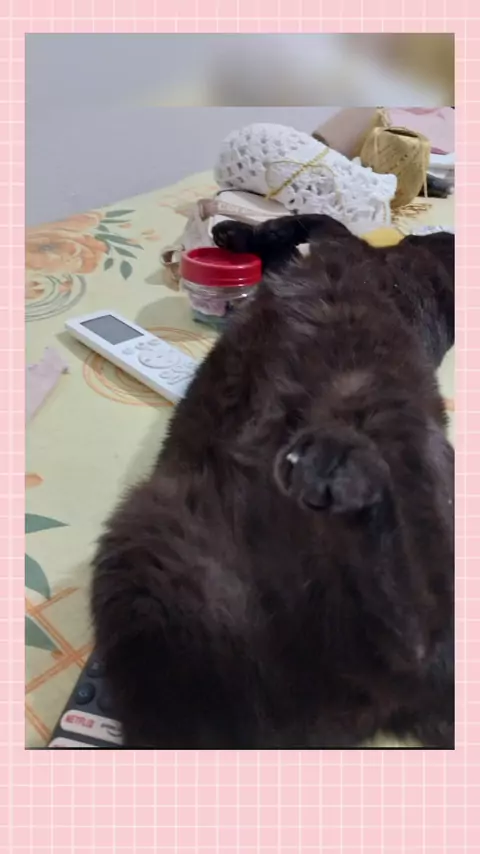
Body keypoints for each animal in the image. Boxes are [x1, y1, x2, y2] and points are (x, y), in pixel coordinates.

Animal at [91, 214, 454, 749]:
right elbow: (308, 229)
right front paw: (235, 233)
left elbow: (318, 221)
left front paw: (237, 230)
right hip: (150, 547)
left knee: (421, 643)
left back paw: (338, 472)